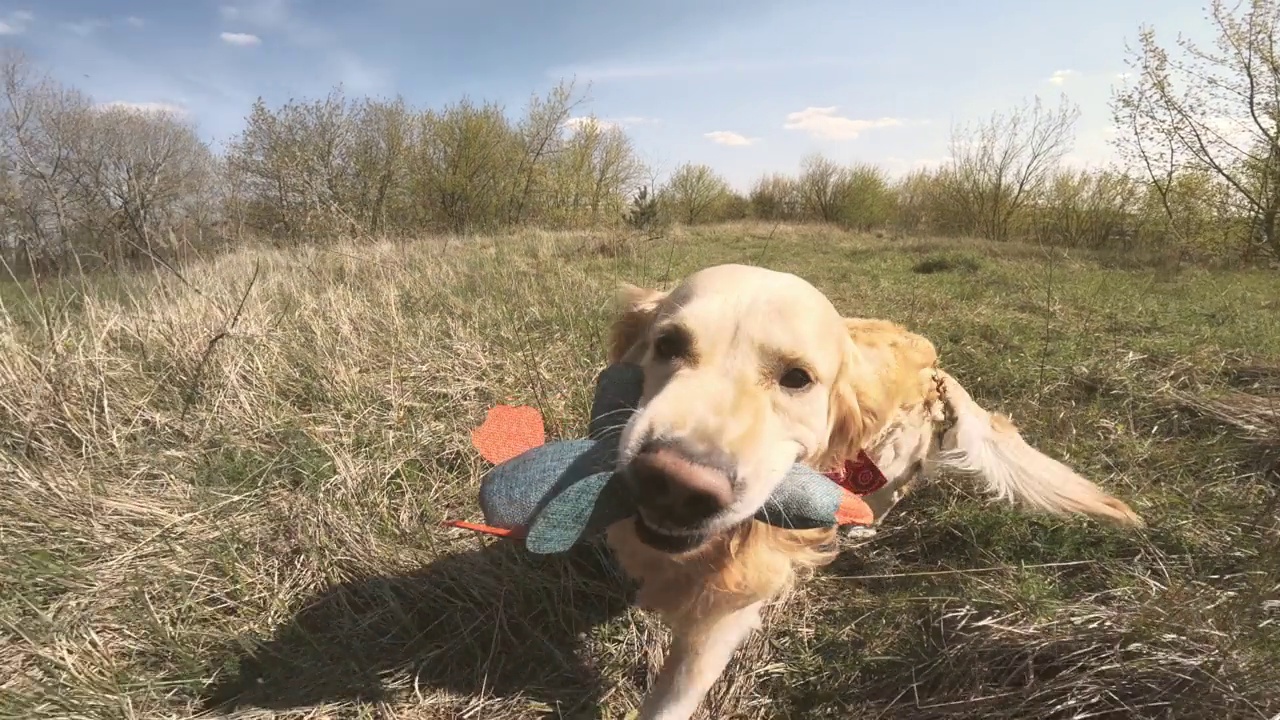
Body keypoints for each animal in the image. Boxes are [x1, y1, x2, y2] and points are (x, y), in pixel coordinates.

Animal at [601, 262, 1152, 717]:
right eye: (668, 345)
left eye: (797, 378)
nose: (674, 485)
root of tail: (935, 372)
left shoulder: (721, 618)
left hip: (895, 460)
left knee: (893, 493)